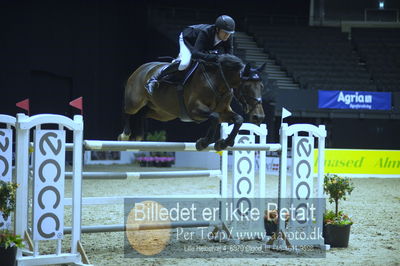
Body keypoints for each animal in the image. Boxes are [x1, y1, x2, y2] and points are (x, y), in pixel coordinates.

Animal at [117, 54, 264, 151]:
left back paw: (138, 136)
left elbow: (238, 119)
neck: (218, 82)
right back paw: (125, 135)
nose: (259, 117)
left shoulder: (223, 112)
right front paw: (203, 142)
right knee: (127, 111)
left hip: (162, 113)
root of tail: (141, 69)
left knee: (143, 114)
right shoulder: (194, 110)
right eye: (246, 86)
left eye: (261, 86)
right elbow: (214, 117)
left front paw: (224, 143)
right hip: (135, 102)